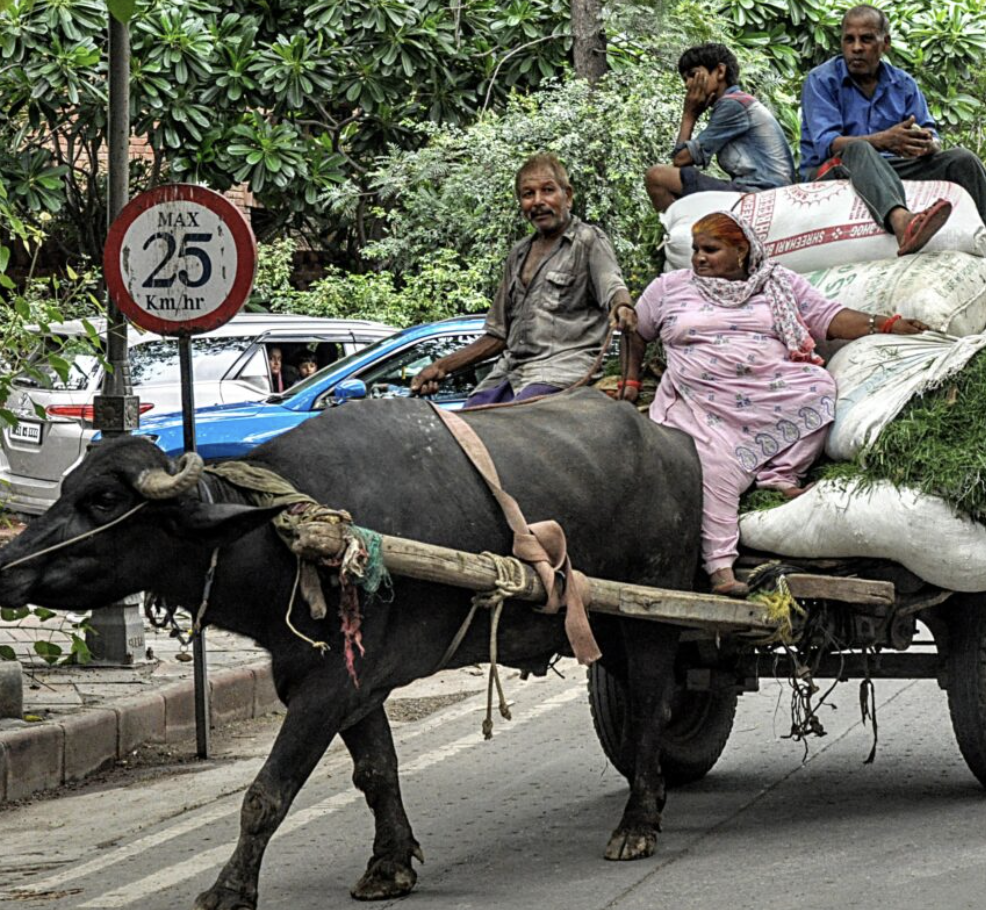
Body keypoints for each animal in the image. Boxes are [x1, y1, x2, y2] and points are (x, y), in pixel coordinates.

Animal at [0, 388, 700, 908]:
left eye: (105, 499)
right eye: (66, 489)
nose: (8, 565)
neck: (289, 540)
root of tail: (673, 442)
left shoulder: (328, 686)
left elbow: (266, 793)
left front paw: (228, 889)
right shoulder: (354, 682)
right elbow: (375, 772)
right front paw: (389, 865)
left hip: (651, 618)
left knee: (651, 710)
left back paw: (637, 823)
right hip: (607, 626)